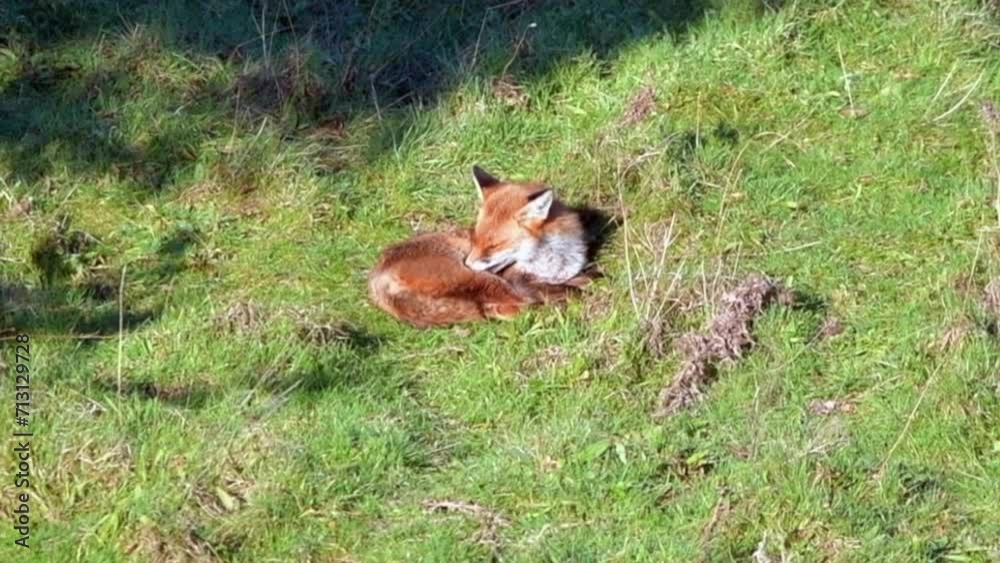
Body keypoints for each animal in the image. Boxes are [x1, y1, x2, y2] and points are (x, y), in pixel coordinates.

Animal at [368, 166, 591, 327]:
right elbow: (566, 288)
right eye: (475, 239)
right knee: (516, 304)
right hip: (481, 279)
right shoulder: (516, 279)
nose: (467, 262)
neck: (552, 261)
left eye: (494, 245)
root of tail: (375, 278)